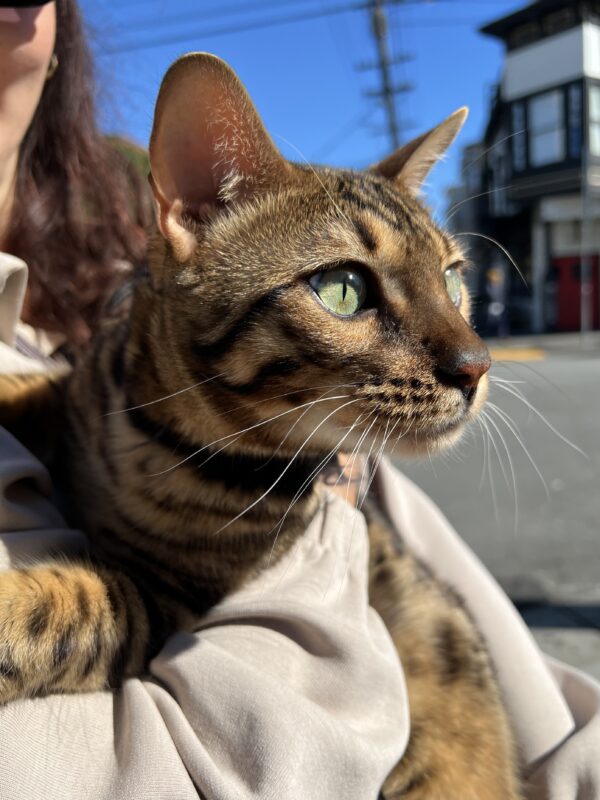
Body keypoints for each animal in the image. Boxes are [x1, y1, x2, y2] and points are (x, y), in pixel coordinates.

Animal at [1, 53, 520, 796]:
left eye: (452, 281)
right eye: (344, 288)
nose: (478, 366)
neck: (147, 438)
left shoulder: (167, 602)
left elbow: (67, 610)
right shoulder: (80, 391)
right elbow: (36, 386)